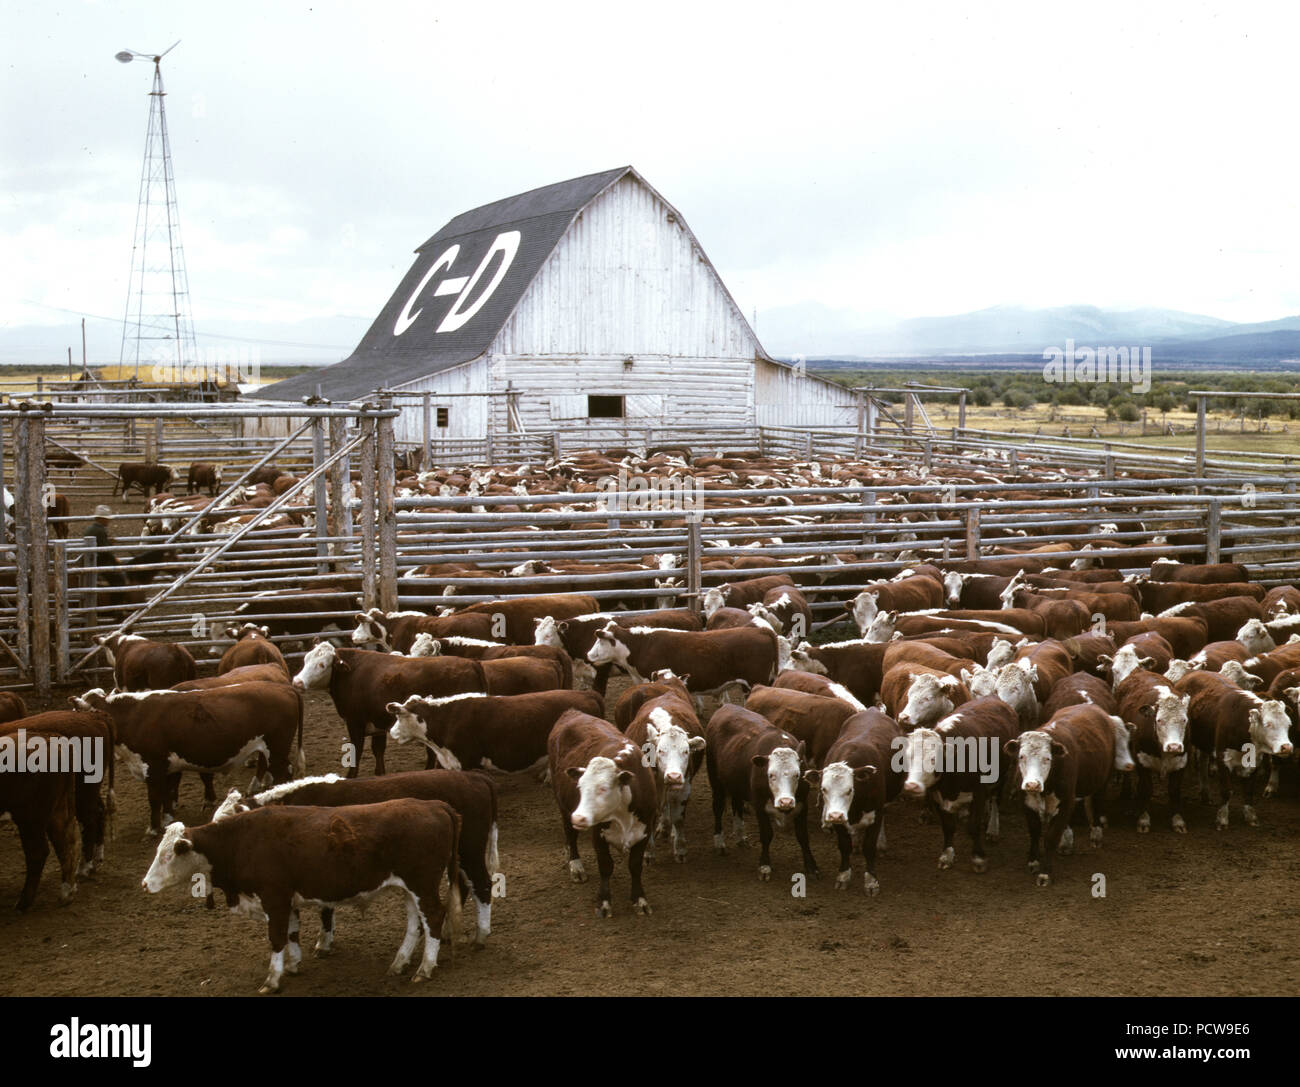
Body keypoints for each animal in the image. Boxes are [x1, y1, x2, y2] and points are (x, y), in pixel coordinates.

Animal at [546, 707, 655, 915]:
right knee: (570, 835)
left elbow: (635, 866)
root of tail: (571, 712)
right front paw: (604, 902)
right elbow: (605, 866)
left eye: (604, 788)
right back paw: (575, 865)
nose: (579, 817)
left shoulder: (644, 831)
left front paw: (640, 900)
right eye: (579, 786)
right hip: (562, 803)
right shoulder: (598, 834)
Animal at [707, 707, 816, 884]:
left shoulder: (802, 804)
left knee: (737, 804)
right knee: (718, 808)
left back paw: (740, 837)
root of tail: (726, 706)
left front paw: (812, 866)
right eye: (770, 775)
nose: (785, 802)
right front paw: (764, 866)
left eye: (797, 774)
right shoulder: (759, 805)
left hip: (736, 783)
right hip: (716, 780)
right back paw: (720, 843)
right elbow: (766, 834)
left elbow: (803, 836)